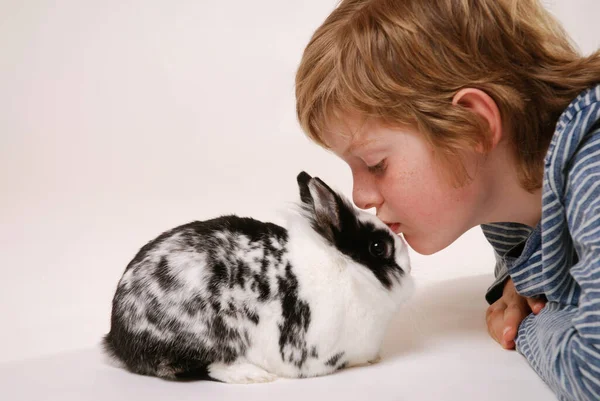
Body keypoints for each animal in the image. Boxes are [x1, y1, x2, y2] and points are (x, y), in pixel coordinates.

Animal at [103, 170, 412, 382]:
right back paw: (251, 375)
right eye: (378, 247)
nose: (409, 268)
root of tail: (117, 338)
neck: (348, 269)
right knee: (197, 367)